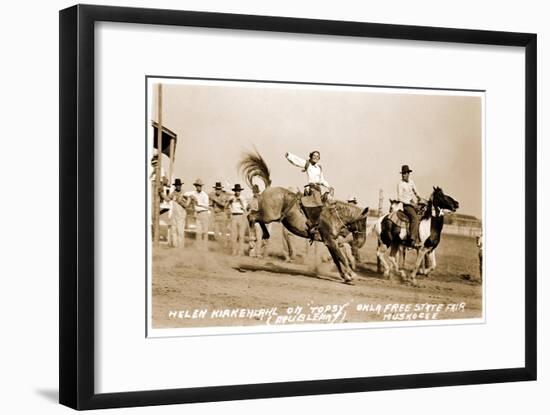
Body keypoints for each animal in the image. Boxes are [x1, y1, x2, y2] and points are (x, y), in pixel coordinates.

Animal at [239, 151, 368, 284]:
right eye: (363, 222)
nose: (361, 242)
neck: (334, 215)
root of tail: (269, 188)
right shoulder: (331, 241)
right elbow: (342, 258)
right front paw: (352, 275)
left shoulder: (331, 242)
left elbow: (337, 260)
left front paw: (346, 276)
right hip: (269, 215)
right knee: (251, 216)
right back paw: (252, 242)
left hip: (268, 216)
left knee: (256, 218)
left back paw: (264, 235)